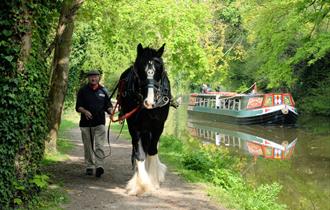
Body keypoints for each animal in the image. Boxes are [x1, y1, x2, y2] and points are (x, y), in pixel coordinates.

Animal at [116, 43, 171, 195]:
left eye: (160, 68)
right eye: (140, 68)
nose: (149, 102)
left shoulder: (158, 126)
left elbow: (152, 150)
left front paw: (153, 180)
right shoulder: (134, 126)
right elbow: (139, 154)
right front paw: (142, 185)